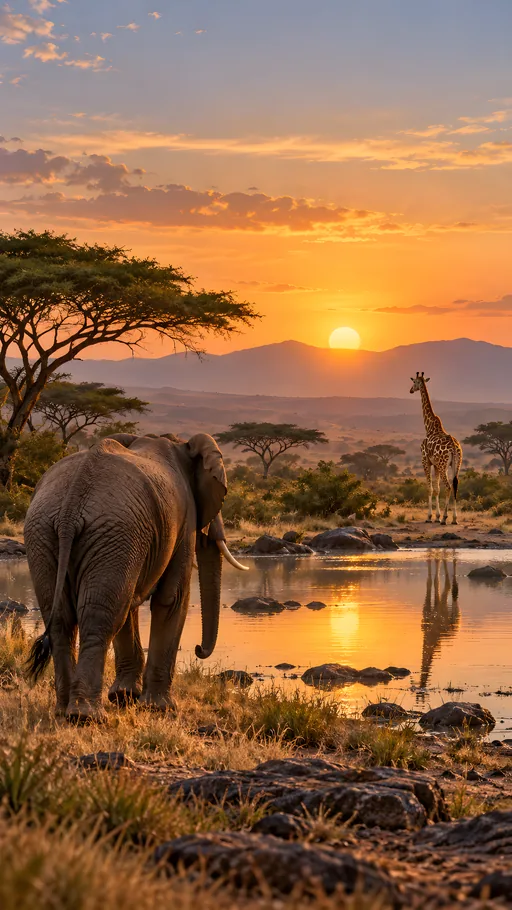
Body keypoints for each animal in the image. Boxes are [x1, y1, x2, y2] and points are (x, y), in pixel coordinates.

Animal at [25, 431, 248, 721]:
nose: (200, 650)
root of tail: (71, 507)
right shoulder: (183, 520)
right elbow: (172, 599)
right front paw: (160, 708)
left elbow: (130, 603)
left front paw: (124, 697)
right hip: (110, 531)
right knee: (100, 617)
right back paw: (87, 716)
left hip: (48, 532)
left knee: (63, 618)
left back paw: (63, 711)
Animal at [410, 371, 463, 524]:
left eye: (414, 382)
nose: (410, 390)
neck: (429, 427)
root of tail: (454, 447)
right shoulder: (436, 465)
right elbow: (437, 489)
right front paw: (437, 516)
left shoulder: (425, 461)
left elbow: (430, 488)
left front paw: (430, 517)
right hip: (455, 464)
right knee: (455, 485)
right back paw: (454, 519)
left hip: (443, 464)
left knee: (448, 486)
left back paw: (445, 518)